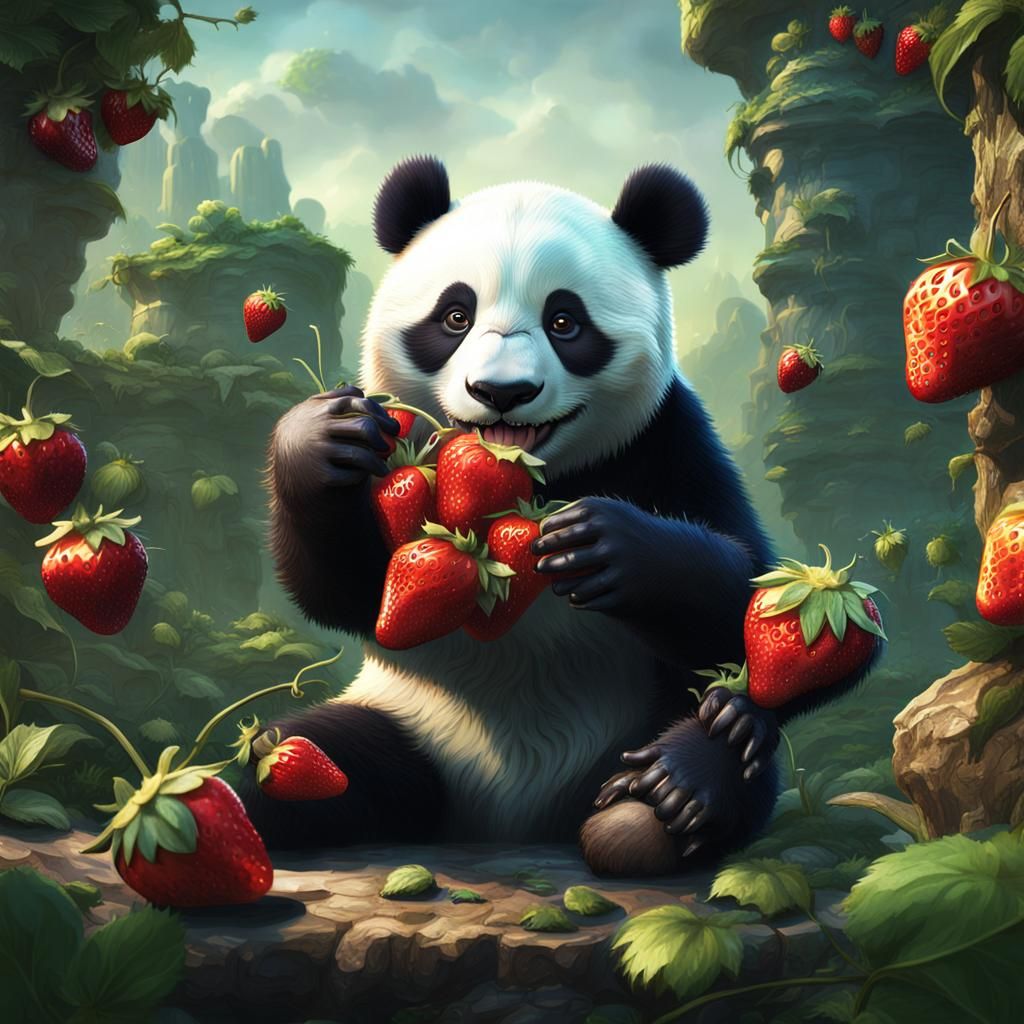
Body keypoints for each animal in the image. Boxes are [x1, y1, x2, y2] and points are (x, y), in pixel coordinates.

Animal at [241, 156, 860, 876]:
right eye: (455, 315)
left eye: (566, 322)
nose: (502, 392)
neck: (534, 484)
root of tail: (502, 826)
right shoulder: (401, 465)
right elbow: (358, 596)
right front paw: (320, 439)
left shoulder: (668, 441)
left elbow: (750, 597)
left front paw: (608, 548)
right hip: (405, 723)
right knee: (311, 758)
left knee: (732, 754)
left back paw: (664, 797)